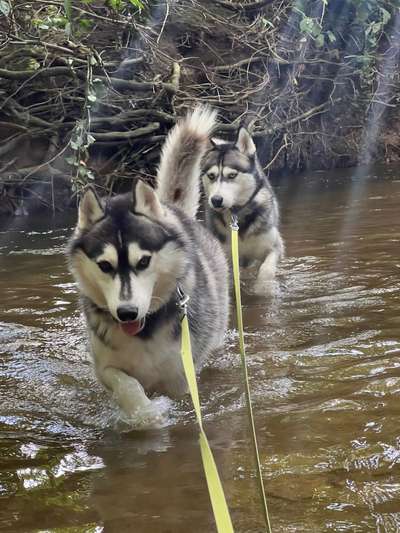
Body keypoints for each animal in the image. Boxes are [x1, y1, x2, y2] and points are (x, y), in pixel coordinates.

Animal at [66, 107, 228, 424]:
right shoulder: (106, 367)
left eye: (143, 261)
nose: (127, 313)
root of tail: (170, 208)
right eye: (105, 266)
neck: (144, 330)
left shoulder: (180, 375)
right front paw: (145, 413)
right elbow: (126, 384)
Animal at [202, 127, 282, 294]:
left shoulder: (275, 247)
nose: (216, 200)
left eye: (232, 175)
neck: (236, 215)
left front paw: (262, 288)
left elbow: (266, 270)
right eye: (211, 176)